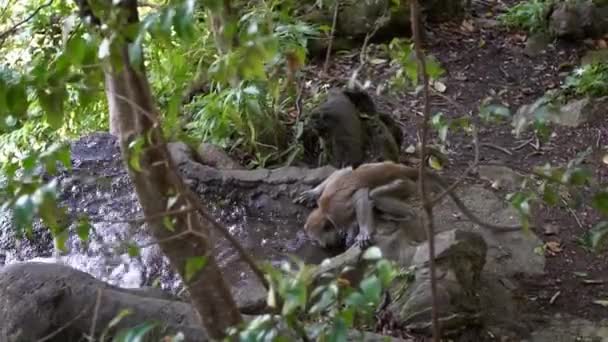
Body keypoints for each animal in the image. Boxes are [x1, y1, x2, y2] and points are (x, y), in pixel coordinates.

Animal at [296, 162, 524, 250]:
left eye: (316, 241)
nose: (321, 246)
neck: (325, 212)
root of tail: (400, 167)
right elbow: (343, 171)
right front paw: (313, 192)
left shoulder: (338, 210)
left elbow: (361, 195)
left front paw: (362, 232)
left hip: (404, 185)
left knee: (375, 195)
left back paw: (406, 216)